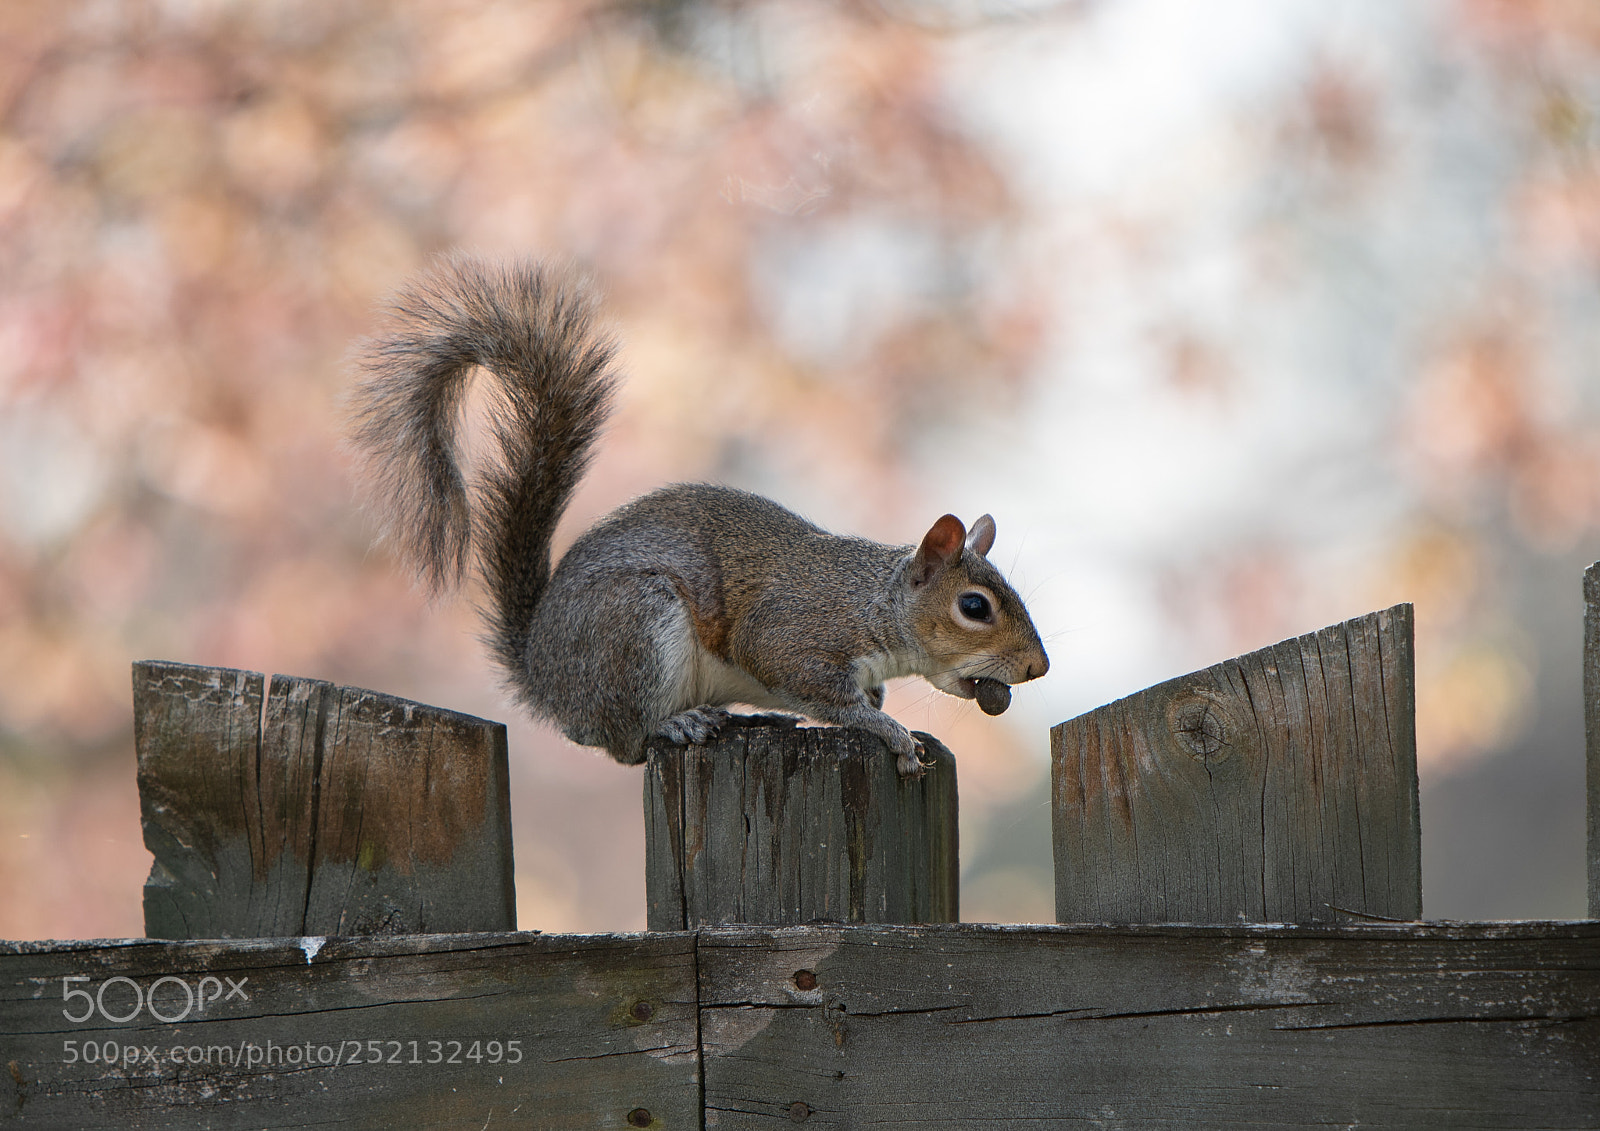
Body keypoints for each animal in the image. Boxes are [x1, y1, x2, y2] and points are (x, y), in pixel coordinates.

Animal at [347, 255, 1049, 776]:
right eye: (975, 607)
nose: (1036, 668)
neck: (868, 601)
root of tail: (544, 676)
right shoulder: (792, 636)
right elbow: (832, 697)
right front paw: (891, 731)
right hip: (632, 630)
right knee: (622, 743)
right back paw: (675, 721)